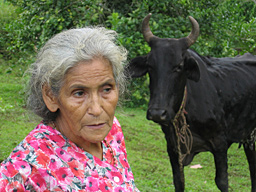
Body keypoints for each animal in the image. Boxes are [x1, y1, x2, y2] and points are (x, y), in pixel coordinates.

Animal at [126, 13, 256, 190]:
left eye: (179, 66)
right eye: (150, 65)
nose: (157, 113)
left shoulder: (220, 143)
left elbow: (222, 181)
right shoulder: (173, 148)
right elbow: (178, 181)